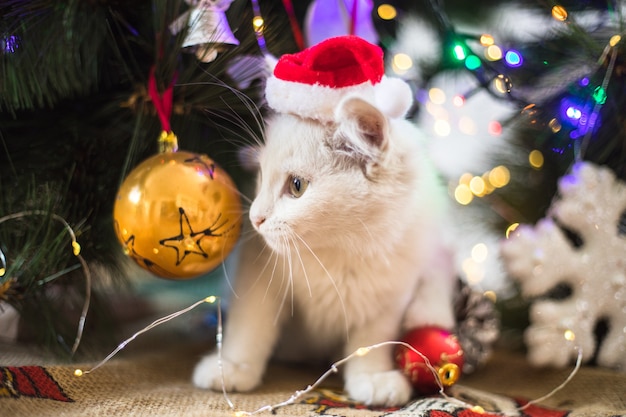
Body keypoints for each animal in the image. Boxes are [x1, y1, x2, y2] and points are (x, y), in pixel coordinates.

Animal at [193, 95, 456, 406]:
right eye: (261, 175)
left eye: (297, 186)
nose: (255, 218)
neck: (338, 251)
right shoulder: (256, 268)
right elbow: (250, 324)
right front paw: (232, 367)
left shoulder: (391, 294)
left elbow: (373, 339)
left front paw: (372, 376)